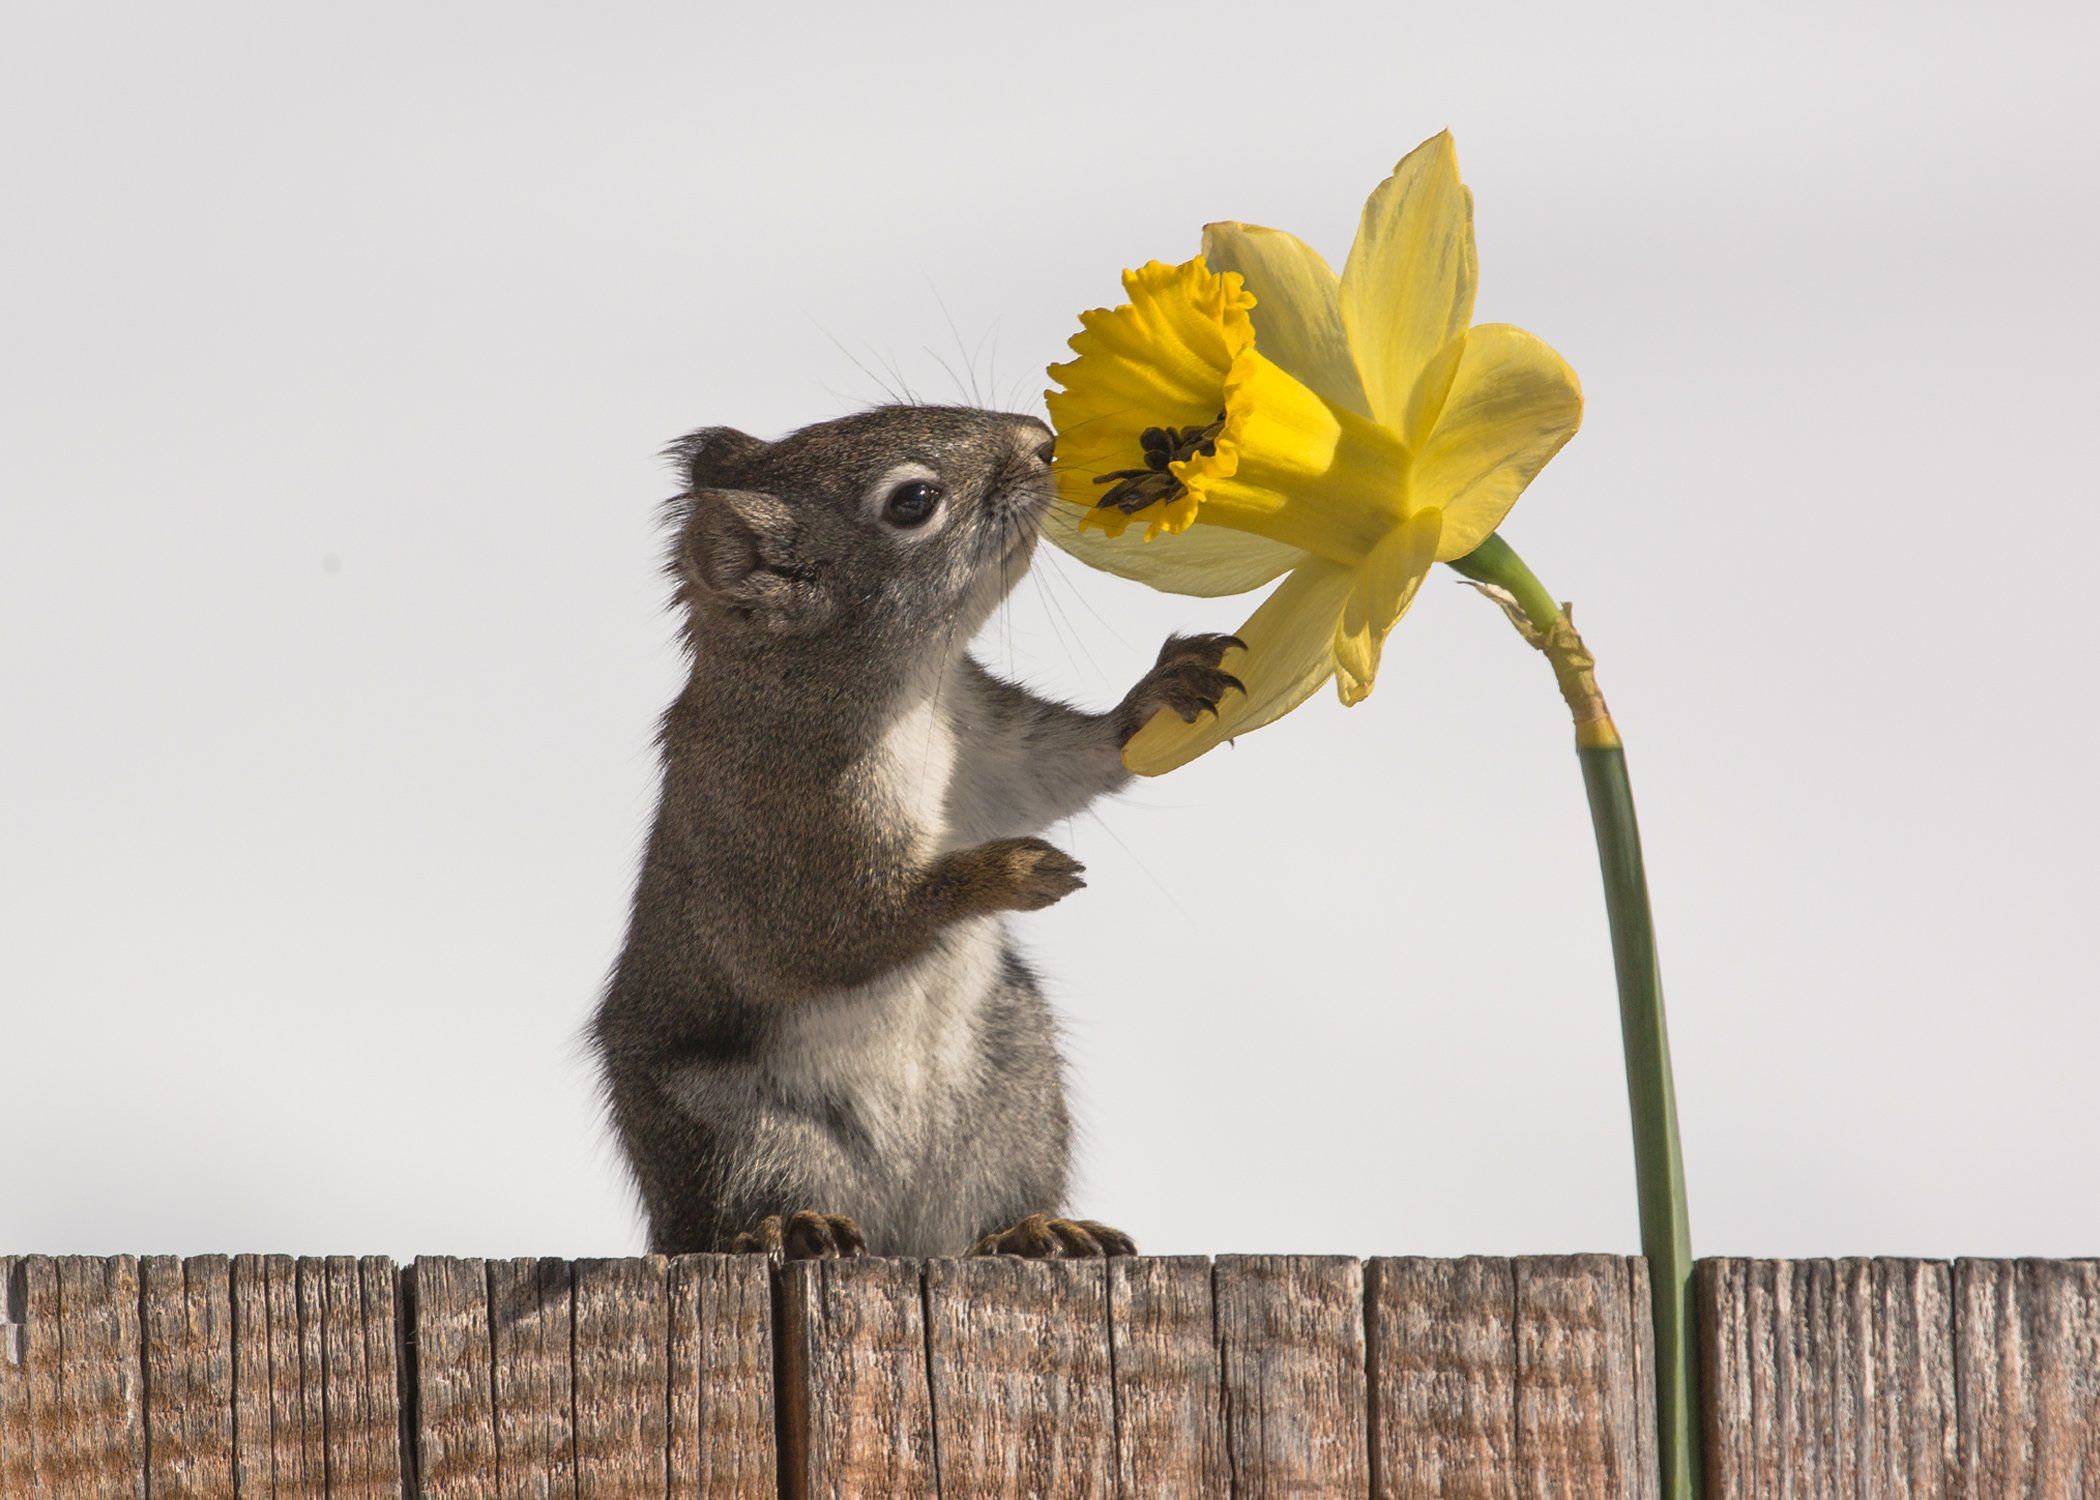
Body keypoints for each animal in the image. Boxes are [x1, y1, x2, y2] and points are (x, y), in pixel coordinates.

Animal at [590, 405, 1241, 1260]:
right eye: (912, 502)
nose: (1042, 443)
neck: (909, 693)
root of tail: (905, 1230)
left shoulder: (990, 745)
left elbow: (1066, 765)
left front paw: (1164, 689)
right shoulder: (777, 830)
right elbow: (836, 933)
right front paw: (1007, 873)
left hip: (1019, 1093)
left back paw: (1036, 1229)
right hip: (736, 1134)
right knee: (746, 1201)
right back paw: (787, 1226)